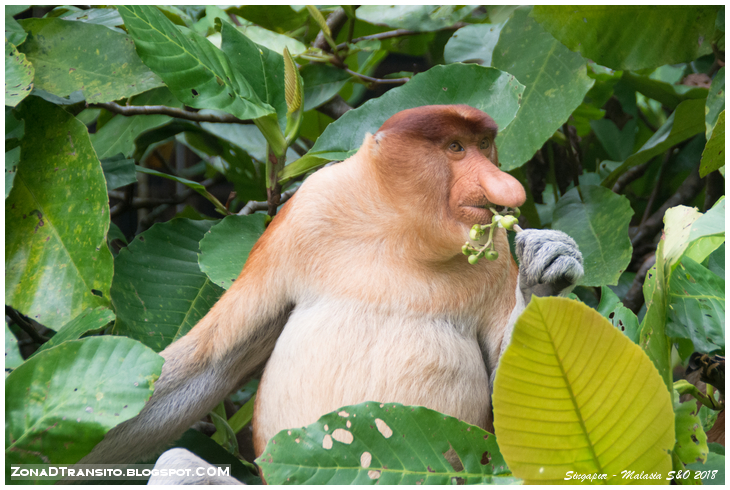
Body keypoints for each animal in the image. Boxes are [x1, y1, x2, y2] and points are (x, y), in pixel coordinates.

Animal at [78, 104, 580, 468]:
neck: (398, 231)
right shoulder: (305, 211)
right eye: (456, 147)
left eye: (484, 145)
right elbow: (210, 360)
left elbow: (512, 402)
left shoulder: (495, 259)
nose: (507, 189)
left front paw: (547, 270)